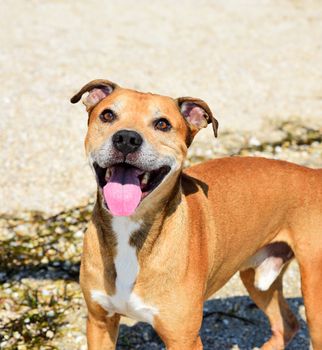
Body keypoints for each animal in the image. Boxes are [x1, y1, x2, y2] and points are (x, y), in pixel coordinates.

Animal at [71, 79, 322, 350]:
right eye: (107, 115)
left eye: (162, 124)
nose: (126, 138)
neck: (131, 229)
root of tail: (314, 174)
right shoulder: (100, 322)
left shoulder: (184, 339)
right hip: (257, 277)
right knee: (286, 324)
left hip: (314, 299)